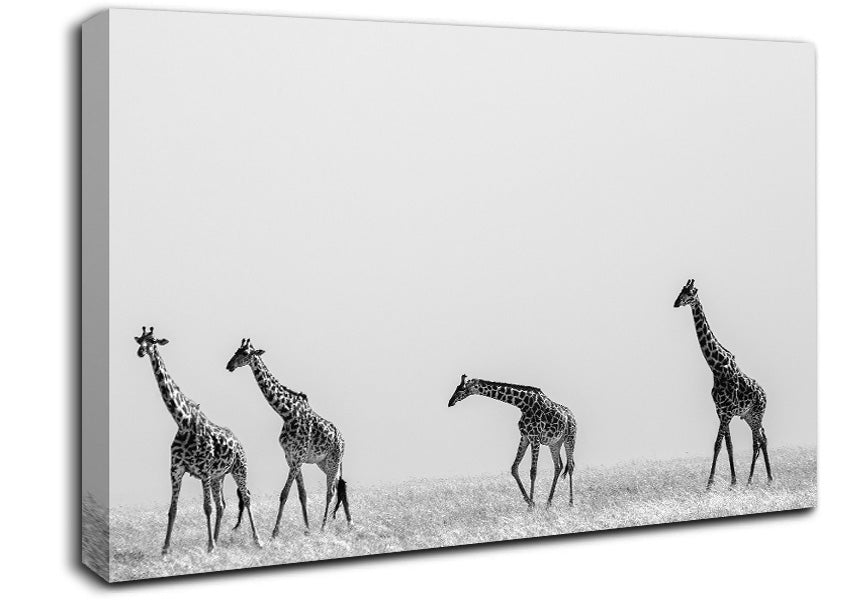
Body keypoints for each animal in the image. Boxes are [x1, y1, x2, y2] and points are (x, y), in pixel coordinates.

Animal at [134, 327, 262, 554]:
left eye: (153, 340)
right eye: (140, 340)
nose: (141, 351)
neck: (183, 421)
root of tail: (238, 442)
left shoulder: (204, 471)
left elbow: (206, 507)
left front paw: (209, 545)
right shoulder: (176, 470)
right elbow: (173, 509)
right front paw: (165, 549)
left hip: (239, 468)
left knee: (245, 497)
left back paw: (257, 540)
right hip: (220, 476)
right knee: (222, 505)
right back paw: (218, 540)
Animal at [226, 339, 351, 534]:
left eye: (245, 353)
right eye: (235, 351)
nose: (229, 365)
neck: (286, 413)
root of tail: (343, 440)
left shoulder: (298, 458)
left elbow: (284, 493)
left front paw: (275, 532)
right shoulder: (290, 457)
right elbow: (302, 494)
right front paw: (306, 529)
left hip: (333, 460)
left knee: (330, 490)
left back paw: (324, 526)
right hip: (323, 463)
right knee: (341, 484)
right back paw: (349, 523)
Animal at [448, 375, 577, 508]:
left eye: (462, 389)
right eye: (457, 387)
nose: (450, 402)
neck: (523, 404)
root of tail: (572, 416)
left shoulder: (535, 437)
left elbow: (533, 471)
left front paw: (531, 505)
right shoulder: (525, 437)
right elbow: (514, 468)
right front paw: (530, 502)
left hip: (570, 438)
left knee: (571, 466)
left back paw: (571, 503)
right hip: (555, 443)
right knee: (558, 466)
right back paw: (548, 503)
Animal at [674, 279, 773, 489]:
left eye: (691, 292)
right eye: (680, 291)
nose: (676, 303)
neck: (716, 366)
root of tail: (765, 394)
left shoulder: (727, 411)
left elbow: (718, 444)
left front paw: (710, 484)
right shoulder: (720, 410)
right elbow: (728, 445)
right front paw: (733, 481)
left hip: (757, 413)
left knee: (759, 440)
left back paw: (759, 479)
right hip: (749, 415)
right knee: (761, 438)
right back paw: (759, 479)